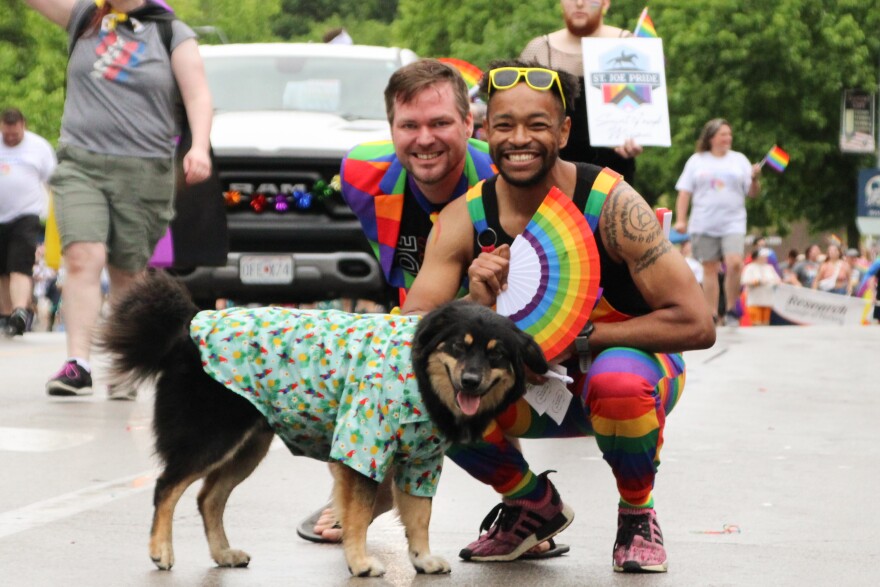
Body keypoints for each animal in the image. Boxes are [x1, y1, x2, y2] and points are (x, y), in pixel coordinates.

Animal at [99, 274, 548, 580]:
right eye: (458, 346)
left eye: (496, 355)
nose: (470, 381)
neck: (418, 375)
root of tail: (189, 325)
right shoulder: (362, 451)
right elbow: (359, 514)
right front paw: (360, 561)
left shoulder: (421, 464)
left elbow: (419, 516)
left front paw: (421, 559)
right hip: (211, 437)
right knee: (167, 487)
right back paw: (161, 550)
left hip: (249, 447)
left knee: (208, 497)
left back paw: (223, 553)